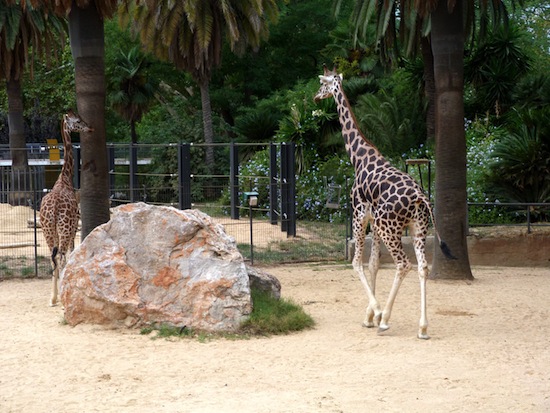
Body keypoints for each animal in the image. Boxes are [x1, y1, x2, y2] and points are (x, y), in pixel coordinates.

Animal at [39, 109, 92, 306]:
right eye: (77, 121)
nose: (90, 128)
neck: (65, 178)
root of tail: (53, 209)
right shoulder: (74, 225)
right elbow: (71, 252)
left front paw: (55, 296)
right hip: (64, 228)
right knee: (60, 257)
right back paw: (60, 297)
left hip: (48, 230)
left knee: (53, 257)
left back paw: (53, 298)